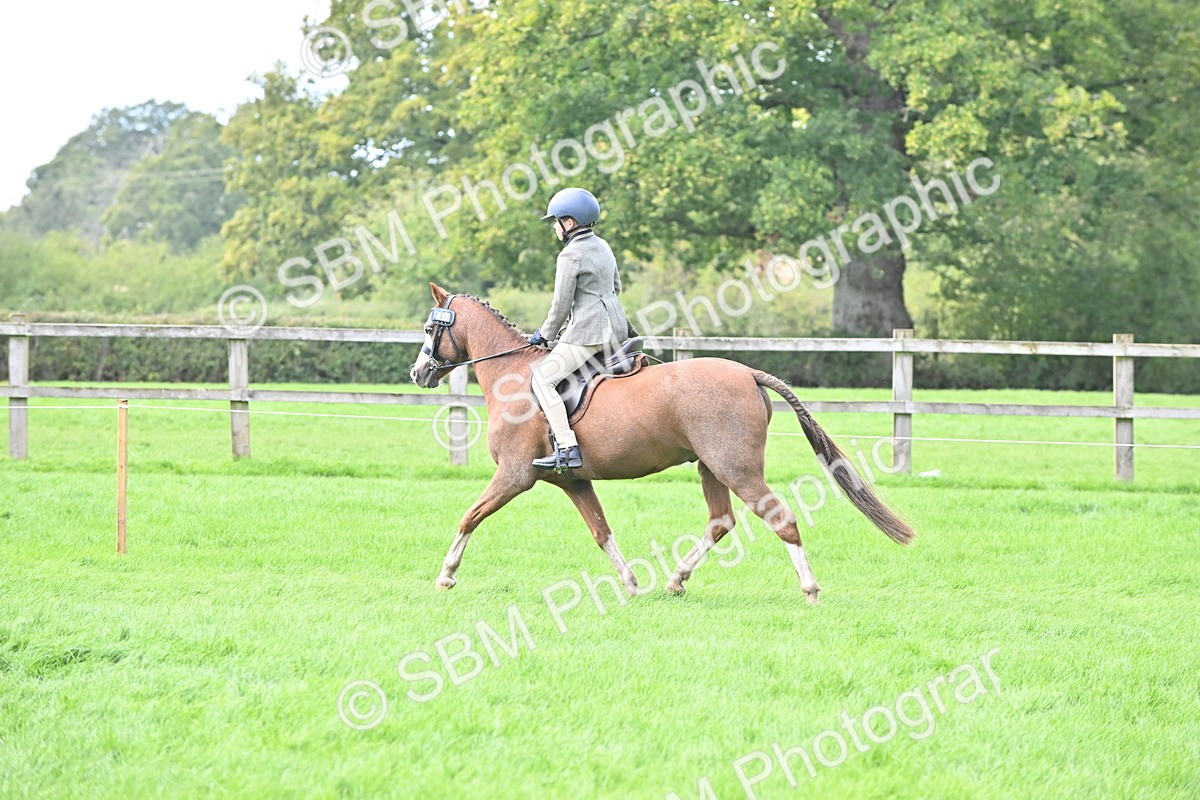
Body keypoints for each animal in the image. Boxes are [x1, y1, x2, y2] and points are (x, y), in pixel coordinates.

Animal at [409, 284, 913, 604]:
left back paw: (809, 590)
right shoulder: (573, 482)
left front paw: (446, 575)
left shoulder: (514, 474)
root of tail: (748, 373)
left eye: (431, 329)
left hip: (736, 468)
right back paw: (675, 580)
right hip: (711, 467)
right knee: (720, 521)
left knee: (780, 519)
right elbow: (602, 532)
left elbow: (469, 516)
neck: (513, 376)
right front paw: (632, 584)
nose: (417, 373)